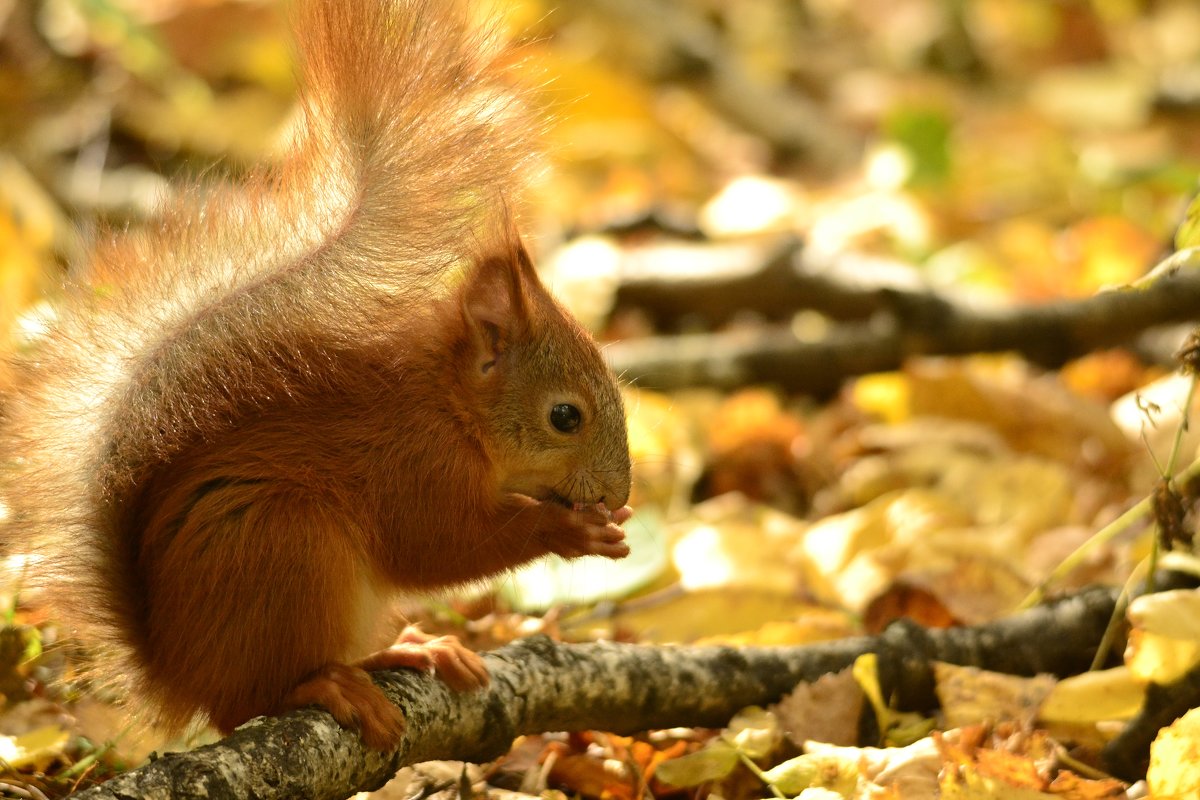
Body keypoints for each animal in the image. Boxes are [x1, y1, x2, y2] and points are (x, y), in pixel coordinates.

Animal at [0, 0, 633, 753]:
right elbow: (439, 544)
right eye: (565, 416)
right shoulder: (409, 461)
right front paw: (568, 531)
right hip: (286, 547)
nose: (620, 493)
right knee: (248, 702)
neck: (451, 408)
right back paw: (327, 686)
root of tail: (177, 674)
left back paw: (409, 650)